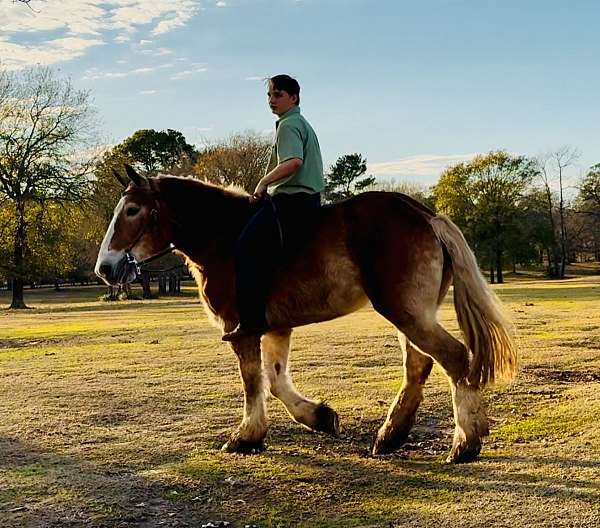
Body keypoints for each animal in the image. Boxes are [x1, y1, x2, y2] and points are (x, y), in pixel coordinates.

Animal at [94, 165, 516, 462]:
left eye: (132, 210)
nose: (105, 269)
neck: (224, 237)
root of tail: (424, 213)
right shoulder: (276, 329)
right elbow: (276, 381)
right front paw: (320, 417)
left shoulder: (242, 329)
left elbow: (253, 382)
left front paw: (246, 436)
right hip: (411, 314)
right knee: (420, 365)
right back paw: (390, 436)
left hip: (406, 312)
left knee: (454, 358)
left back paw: (465, 444)